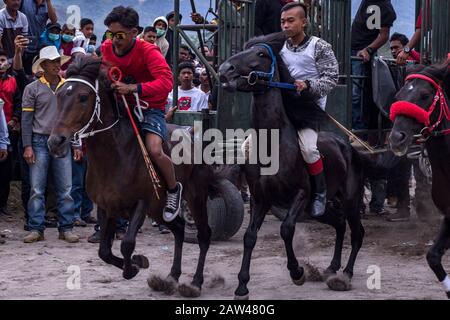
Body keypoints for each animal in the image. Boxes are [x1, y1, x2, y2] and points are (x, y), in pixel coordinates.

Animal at [48, 55, 217, 298]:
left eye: (83, 97)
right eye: (59, 95)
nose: (56, 141)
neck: (116, 154)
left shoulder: (141, 203)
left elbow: (127, 244)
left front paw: (135, 265)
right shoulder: (106, 207)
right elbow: (104, 252)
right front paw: (137, 263)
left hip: (195, 197)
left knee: (204, 234)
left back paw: (195, 282)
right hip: (159, 209)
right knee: (179, 229)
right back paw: (171, 277)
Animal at [220, 31, 374, 298]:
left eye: (261, 54)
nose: (224, 70)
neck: (273, 144)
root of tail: (349, 148)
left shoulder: (300, 195)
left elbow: (286, 229)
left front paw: (297, 272)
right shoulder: (260, 198)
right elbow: (249, 237)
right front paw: (242, 285)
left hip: (350, 201)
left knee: (357, 232)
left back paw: (345, 274)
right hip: (321, 209)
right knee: (339, 224)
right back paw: (332, 267)